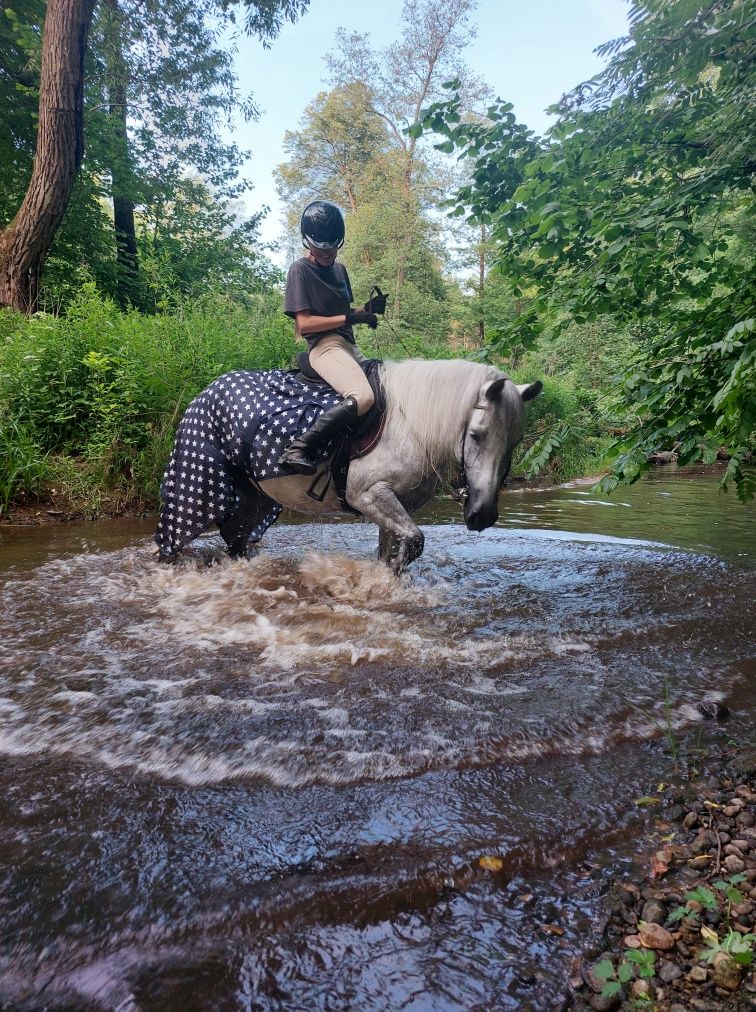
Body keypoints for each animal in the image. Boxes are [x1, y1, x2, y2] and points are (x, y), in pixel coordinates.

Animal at [154, 360, 542, 574]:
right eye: (476, 435)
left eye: (516, 441)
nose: (482, 515)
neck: (410, 425)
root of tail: (205, 393)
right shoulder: (368, 496)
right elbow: (414, 542)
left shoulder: (394, 505)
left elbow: (393, 550)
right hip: (195, 491)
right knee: (171, 543)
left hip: (256, 498)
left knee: (235, 540)